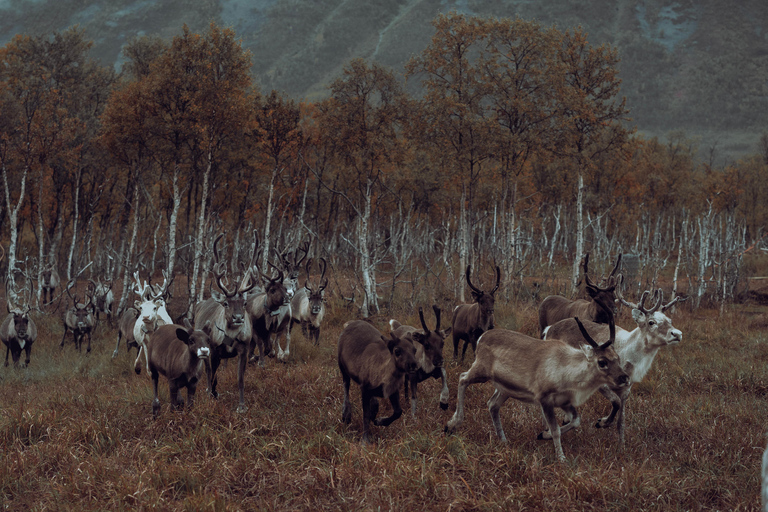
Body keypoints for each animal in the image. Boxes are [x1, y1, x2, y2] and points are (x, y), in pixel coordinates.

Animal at [193, 233, 258, 413]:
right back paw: (209, 390)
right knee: (208, 371)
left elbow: (240, 379)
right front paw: (213, 395)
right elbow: (214, 375)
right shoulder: (214, 350)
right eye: (226, 303)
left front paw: (242, 406)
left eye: (244, 303)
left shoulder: (244, 350)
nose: (238, 317)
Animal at [444, 311, 630, 462]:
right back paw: (452, 423)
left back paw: (503, 440)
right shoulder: (544, 397)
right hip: (481, 370)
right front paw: (561, 458)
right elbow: (556, 429)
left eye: (617, 357)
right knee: (462, 378)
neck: (568, 374)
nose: (625, 378)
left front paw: (543, 435)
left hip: (505, 388)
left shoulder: (564, 401)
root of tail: (482, 337)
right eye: (602, 362)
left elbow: (576, 421)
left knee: (492, 404)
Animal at [543, 276, 685, 446]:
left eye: (669, 319)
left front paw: (621, 446)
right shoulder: (602, 383)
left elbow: (621, 421)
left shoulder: (626, 389)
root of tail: (548, 329)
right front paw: (602, 422)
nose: (677, 334)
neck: (629, 356)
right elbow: (615, 403)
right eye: (651, 322)